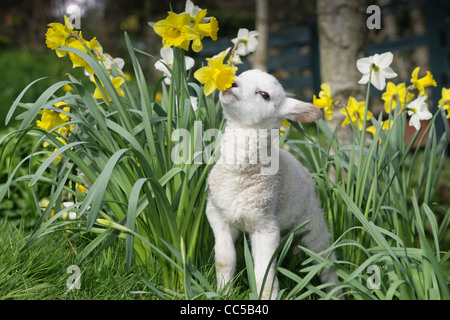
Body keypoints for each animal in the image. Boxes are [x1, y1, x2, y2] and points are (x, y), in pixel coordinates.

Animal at [206, 68, 340, 300]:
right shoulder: (217, 216)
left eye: (264, 95)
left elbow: (264, 275)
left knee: (326, 262)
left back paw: (336, 291)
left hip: (314, 223)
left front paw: (267, 297)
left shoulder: (265, 226)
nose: (231, 83)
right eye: (240, 75)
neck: (237, 176)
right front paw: (223, 292)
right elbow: (224, 260)